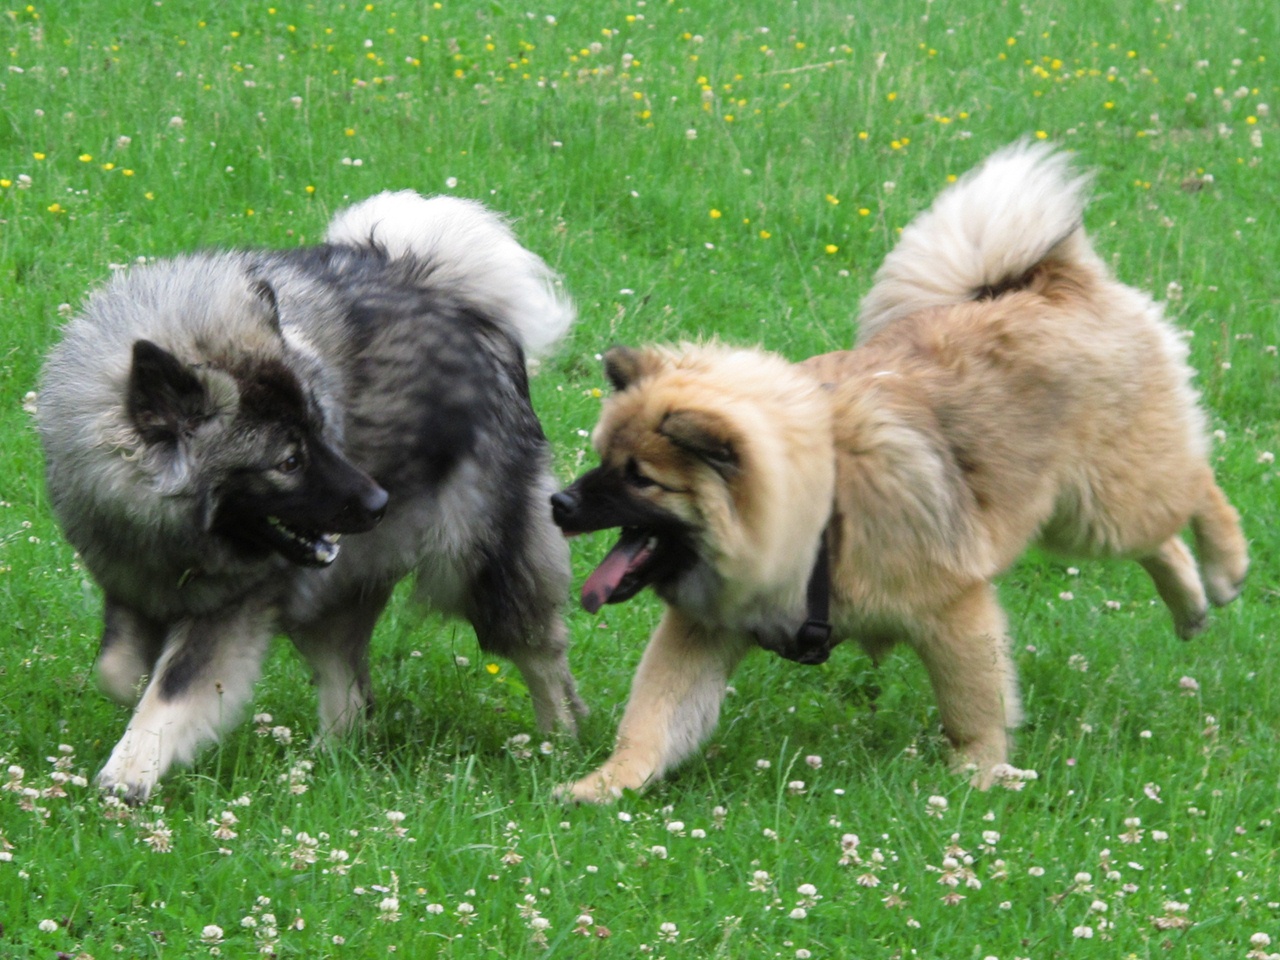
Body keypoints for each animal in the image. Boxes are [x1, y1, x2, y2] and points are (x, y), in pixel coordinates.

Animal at [38, 191, 587, 801]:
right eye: (289, 462)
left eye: (323, 432)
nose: (377, 503)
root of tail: (451, 288)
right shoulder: (133, 582)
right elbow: (115, 671)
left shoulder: (232, 606)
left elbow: (175, 688)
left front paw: (128, 772)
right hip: (333, 592)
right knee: (349, 686)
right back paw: (323, 765)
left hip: (477, 561)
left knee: (540, 652)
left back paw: (558, 743)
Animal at [550, 141, 1249, 802]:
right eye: (601, 458)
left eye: (640, 478)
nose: (558, 503)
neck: (821, 516)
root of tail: (1053, 278)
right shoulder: (703, 629)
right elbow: (654, 717)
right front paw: (605, 785)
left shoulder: (953, 607)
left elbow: (974, 710)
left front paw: (978, 775)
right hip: (1071, 515)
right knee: (1162, 537)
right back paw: (1191, 604)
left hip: (1107, 501)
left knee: (1195, 489)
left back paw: (1225, 567)